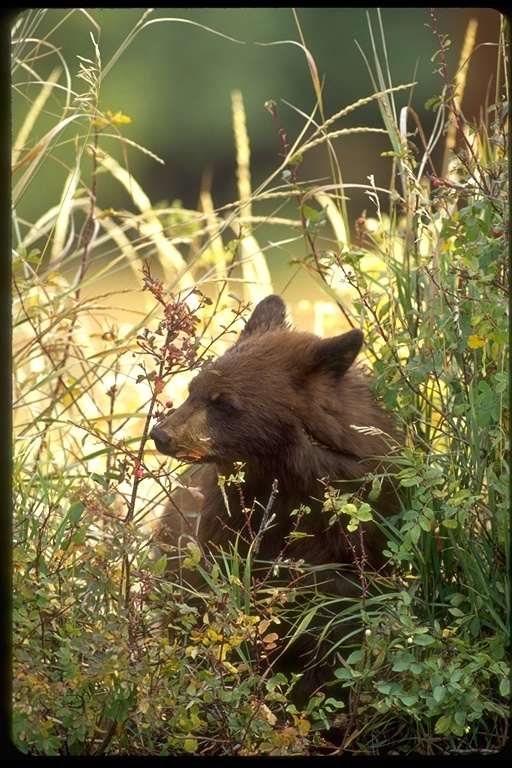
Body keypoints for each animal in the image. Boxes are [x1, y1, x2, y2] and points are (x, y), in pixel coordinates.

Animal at [150, 296, 402, 708]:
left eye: (224, 402)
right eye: (193, 388)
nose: (161, 434)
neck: (284, 478)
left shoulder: (364, 522)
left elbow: (338, 622)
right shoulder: (226, 526)